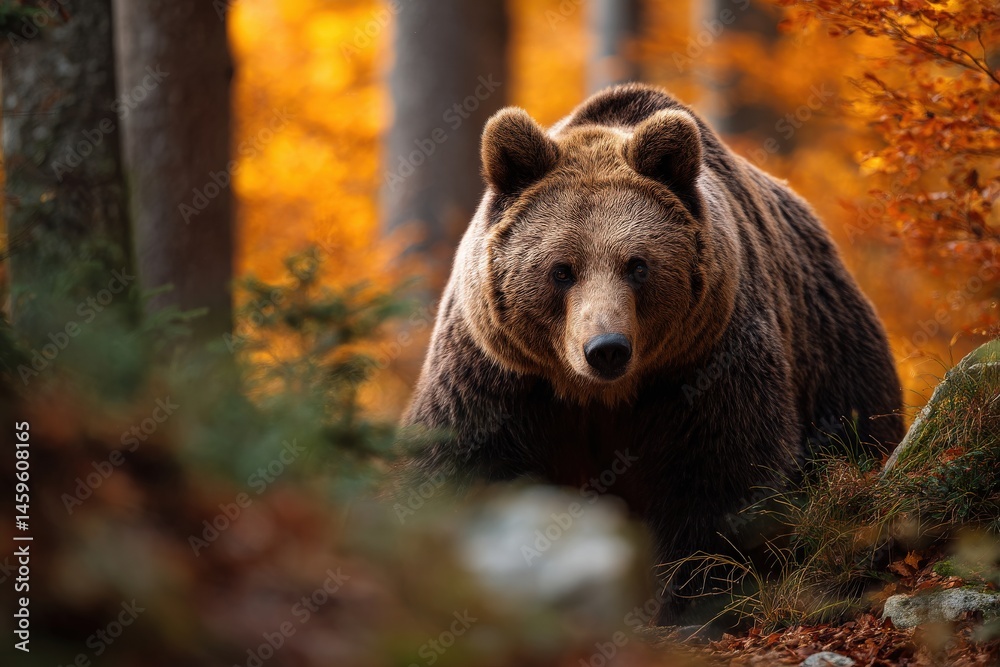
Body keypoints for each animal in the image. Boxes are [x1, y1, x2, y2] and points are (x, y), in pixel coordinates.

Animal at [400, 83, 904, 625]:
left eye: (637, 265)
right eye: (562, 269)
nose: (605, 349)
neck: (600, 395)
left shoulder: (704, 366)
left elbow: (722, 481)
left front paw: (696, 603)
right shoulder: (496, 374)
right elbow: (457, 461)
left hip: (834, 360)